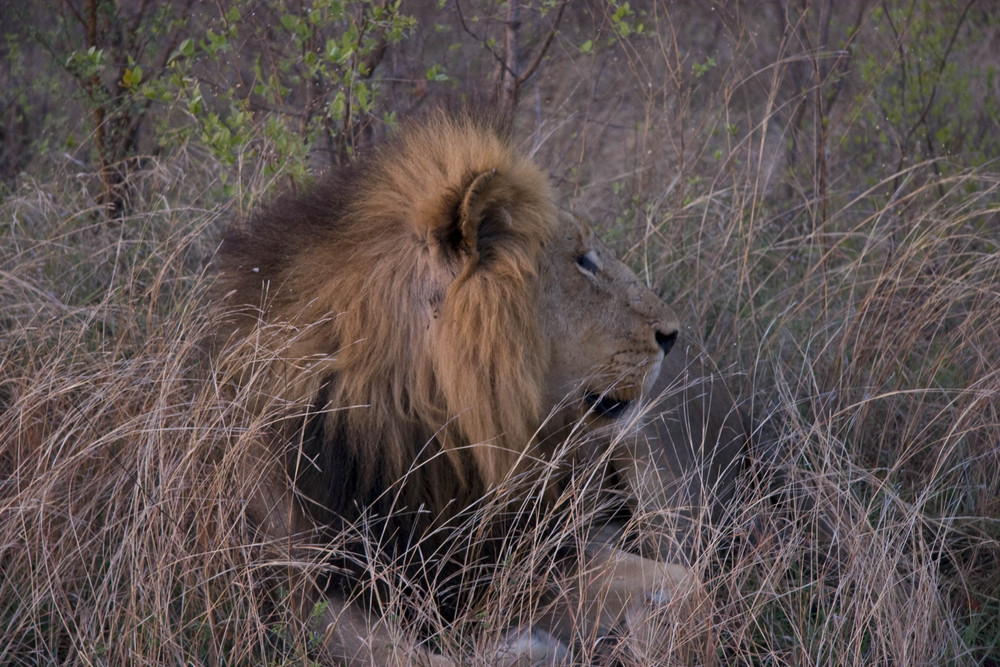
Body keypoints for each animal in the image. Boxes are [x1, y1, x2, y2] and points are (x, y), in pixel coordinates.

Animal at [213, 108, 728, 664]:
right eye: (582, 260)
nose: (672, 335)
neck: (425, 430)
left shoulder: (529, 551)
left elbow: (688, 586)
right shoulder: (297, 582)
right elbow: (389, 651)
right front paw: (528, 649)